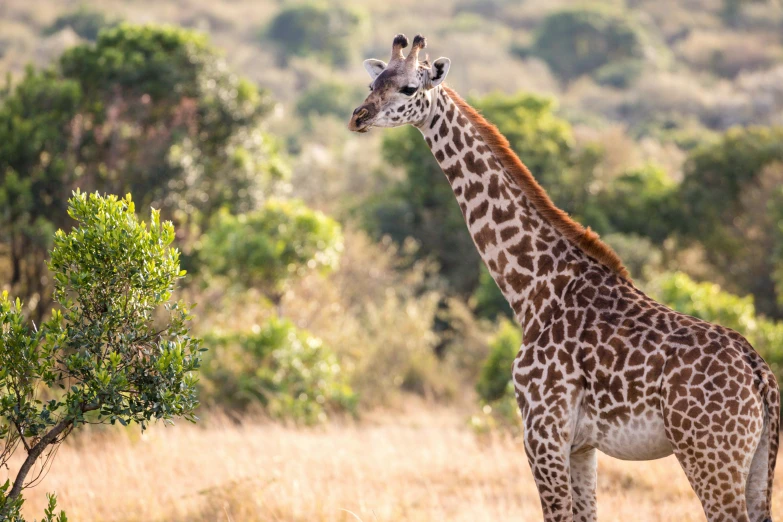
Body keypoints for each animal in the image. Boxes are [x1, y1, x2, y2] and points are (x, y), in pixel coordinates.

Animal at [350, 32, 783, 520]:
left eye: (409, 88)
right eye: (374, 83)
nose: (358, 116)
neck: (534, 288)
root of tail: (762, 377)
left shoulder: (543, 431)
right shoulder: (581, 446)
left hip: (710, 455)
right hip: (756, 462)